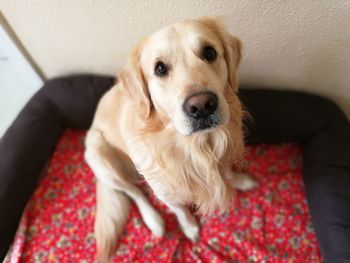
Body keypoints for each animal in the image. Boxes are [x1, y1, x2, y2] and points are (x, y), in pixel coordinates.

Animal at [84, 16, 254, 262]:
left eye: (209, 52)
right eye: (160, 69)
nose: (202, 106)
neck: (196, 146)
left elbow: (227, 170)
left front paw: (239, 180)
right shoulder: (166, 191)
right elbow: (181, 210)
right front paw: (190, 227)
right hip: (100, 156)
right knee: (134, 192)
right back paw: (154, 220)